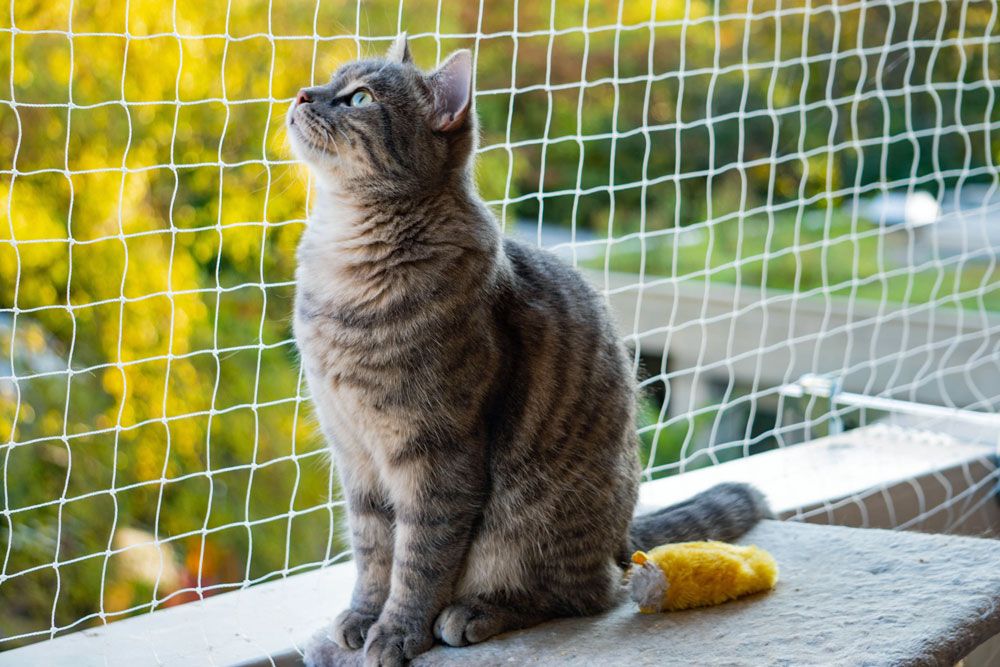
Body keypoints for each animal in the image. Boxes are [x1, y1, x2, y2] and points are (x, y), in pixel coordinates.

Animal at [290, 35, 772, 667]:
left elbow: (418, 562)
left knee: (588, 592)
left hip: (526, 522)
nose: (302, 92)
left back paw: (476, 612)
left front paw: (395, 632)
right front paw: (362, 616)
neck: (344, 271)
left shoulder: (436, 457)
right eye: (331, 80)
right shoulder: (356, 457)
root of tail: (622, 534)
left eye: (361, 98)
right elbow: (374, 554)